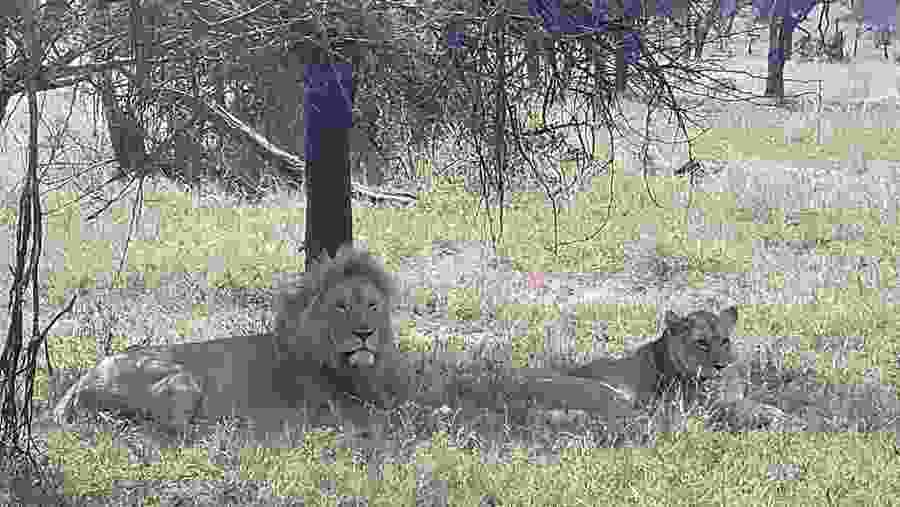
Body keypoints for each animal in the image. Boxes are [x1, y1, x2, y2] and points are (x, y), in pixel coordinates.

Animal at [53, 244, 409, 435]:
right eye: (341, 306)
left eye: (372, 306)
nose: (364, 333)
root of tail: (79, 384)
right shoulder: (326, 410)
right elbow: (380, 417)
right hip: (182, 379)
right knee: (171, 428)